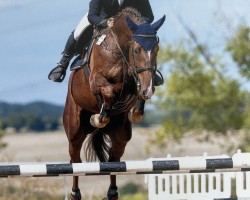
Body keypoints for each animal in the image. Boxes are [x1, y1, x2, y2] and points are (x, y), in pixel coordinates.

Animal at [63, 7, 165, 200]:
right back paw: (75, 193)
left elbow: (136, 90)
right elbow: (109, 91)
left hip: (121, 136)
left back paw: (112, 192)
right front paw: (100, 116)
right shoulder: (96, 80)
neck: (120, 48)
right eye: (136, 50)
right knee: (75, 160)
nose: (147, 90)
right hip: (74, 130)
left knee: (114, 160)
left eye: (156, 49)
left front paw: (137, 111)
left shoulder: (136, 81)